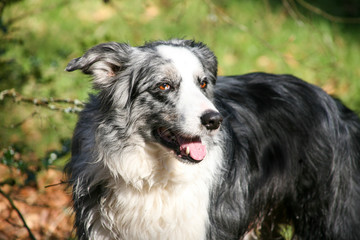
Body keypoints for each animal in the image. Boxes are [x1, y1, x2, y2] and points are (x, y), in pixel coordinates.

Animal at [65, 38, 360, 239]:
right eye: (164, 86)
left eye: (203, 83)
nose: (214, 121)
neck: (155, 175)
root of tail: (334, 104)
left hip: (332, 215)